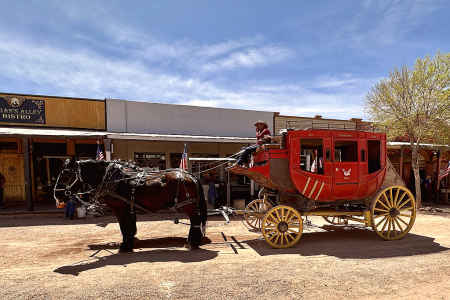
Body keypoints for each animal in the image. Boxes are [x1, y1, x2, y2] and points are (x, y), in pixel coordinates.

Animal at [53, 158, 207, 252]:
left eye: (66, 173)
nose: (57, 195)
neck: (113, 179)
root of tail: (190, 175)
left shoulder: (119, 209)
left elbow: (123, 226)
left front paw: (125, 246)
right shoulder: (128, 209)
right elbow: (129, 225)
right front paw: (130, 241)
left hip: (187, 205)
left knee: (195, 219)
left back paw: (192, 242)